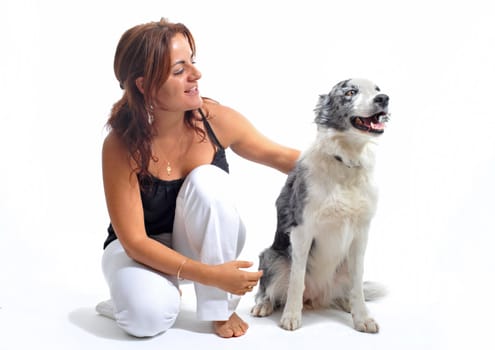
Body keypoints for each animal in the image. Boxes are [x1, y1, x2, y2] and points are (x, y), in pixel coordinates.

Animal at [252, 78, 392, 332]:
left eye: (377, 89)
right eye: (350, 92)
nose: (384, 98)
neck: (346, 163)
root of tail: (316, 298)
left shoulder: (361, 233)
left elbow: (358, 285)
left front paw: (362, 317)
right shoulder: (302, 230)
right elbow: (296, 280)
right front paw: (291, 316)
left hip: (344, 266)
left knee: (349, 288)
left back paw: (347, 304)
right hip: (272, 257)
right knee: (269, 288)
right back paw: (264, 305)